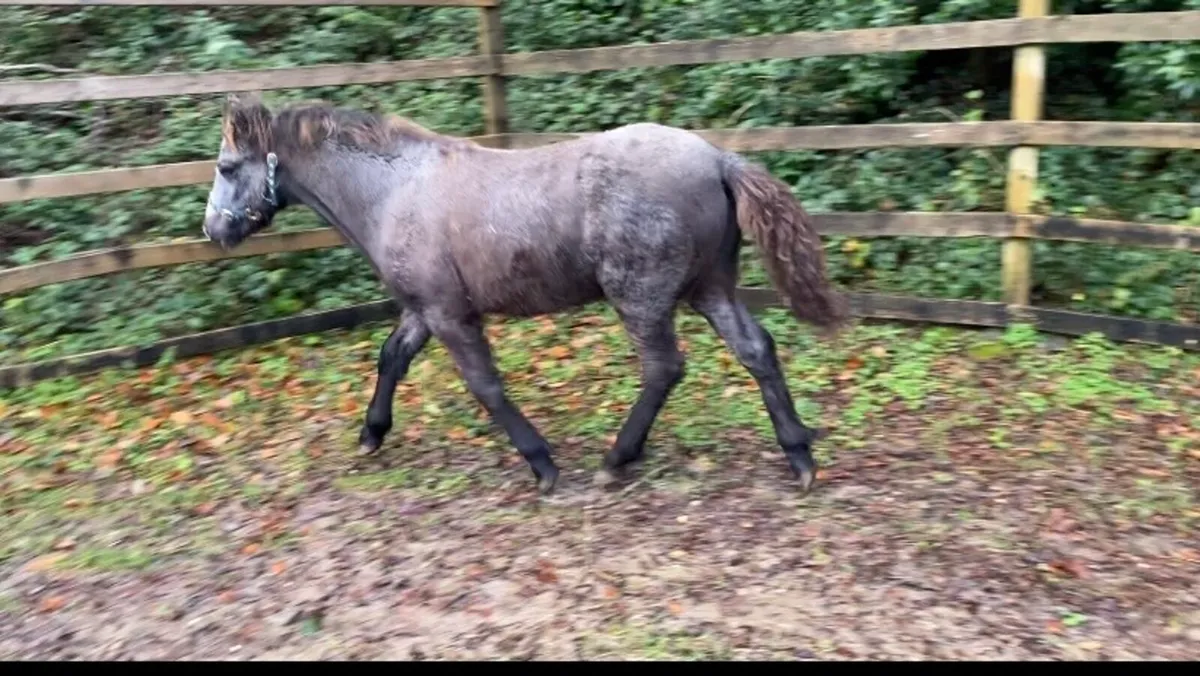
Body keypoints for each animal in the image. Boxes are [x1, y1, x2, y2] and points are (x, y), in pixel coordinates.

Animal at [201, 93, 849, 495]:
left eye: (229, 166)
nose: (214, 231)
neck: (394, 189)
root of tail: (718, 158)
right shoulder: (423, 308)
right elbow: (391, 358)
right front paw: (371, 434)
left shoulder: (449, 314)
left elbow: (486, 386)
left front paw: (542, 465)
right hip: (709, 287)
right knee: (757, 349)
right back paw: (799, 456)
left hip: (641, 295)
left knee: (664, 368)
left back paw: (616, 460)